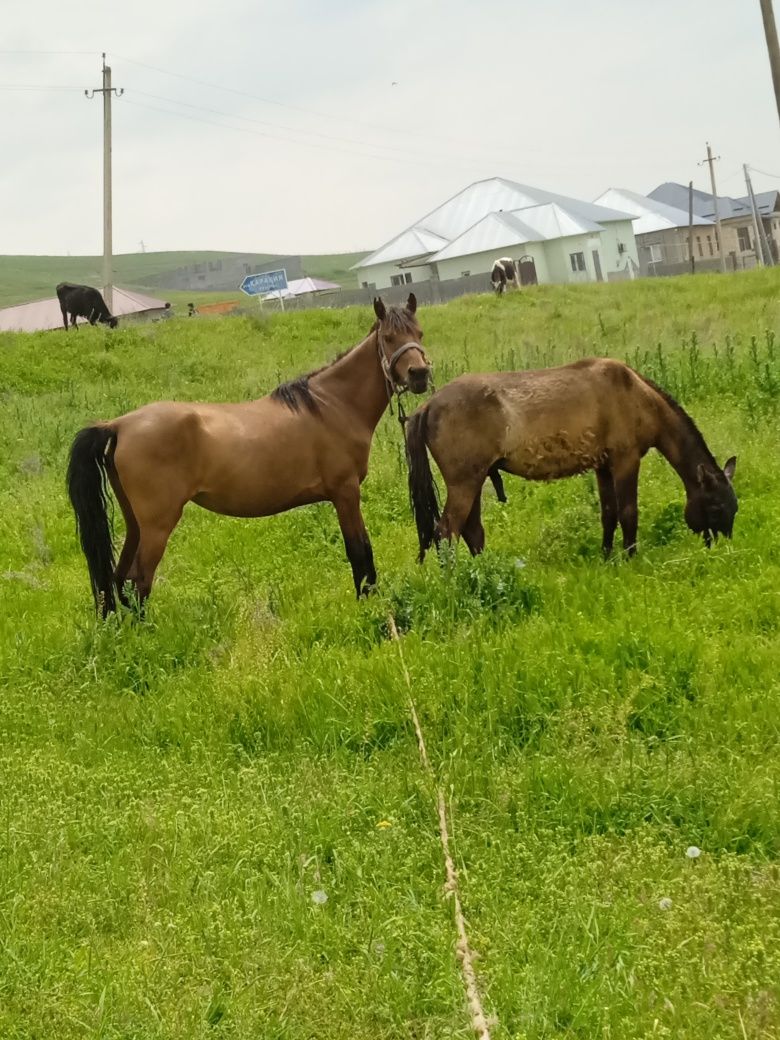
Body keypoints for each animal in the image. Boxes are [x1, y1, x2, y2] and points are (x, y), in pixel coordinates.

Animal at [65, 297, 434, 611]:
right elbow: (360, 552)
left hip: (135, 522)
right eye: (388, 337)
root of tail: (119, 424)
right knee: (138, 580)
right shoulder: (345, 493)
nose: (419, 374)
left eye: (419, 333)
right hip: (157, 526)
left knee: (119, 580)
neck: (331, 404)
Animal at [405, 361, 740, 565]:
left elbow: (609, 513)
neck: (637, 395)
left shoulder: (603, 466)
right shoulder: (626, 461)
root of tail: (428, 405)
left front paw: (607, 556)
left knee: (471, 531)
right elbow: (628, 512)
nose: (723, 548)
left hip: (474, 481)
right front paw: (630, 557)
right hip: (465, 483)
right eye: (715, 507)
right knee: (446, 532)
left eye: (733, 508)